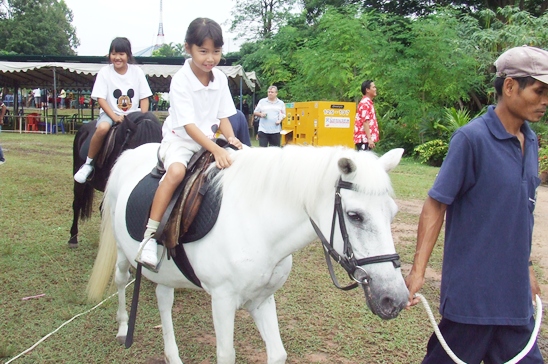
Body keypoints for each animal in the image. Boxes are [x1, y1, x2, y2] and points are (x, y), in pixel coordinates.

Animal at [88, 144, 408, 362]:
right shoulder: (222, 300)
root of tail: (129, 154)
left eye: (392, 213)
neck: (257, 223)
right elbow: (226, 355)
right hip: (122, 253)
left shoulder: (261, 299)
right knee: (120, 279)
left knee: (163, 298)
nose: (396, 299)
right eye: (355, 216)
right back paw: (123, 327)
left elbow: (277, 354)